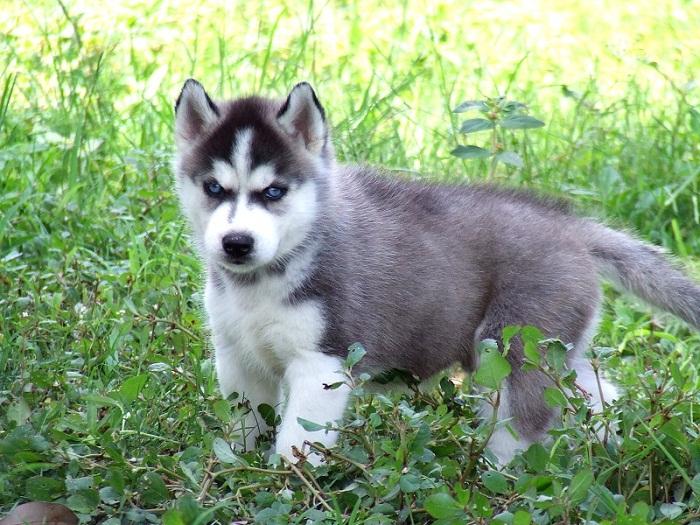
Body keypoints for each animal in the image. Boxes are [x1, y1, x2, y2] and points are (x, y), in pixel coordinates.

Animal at [173, 79, 700, 465]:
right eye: (214, 188)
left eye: (274, 192)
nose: (236, 243)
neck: (263, 281)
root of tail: (573, 226)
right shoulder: (237, 358)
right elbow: (242, 429)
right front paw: (234, 474)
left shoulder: (322, 364)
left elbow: (295, 447)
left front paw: (288, 490)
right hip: (550, 354)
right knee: (593, 393)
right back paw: (611, 445)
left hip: (510, 352)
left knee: (521, 428)